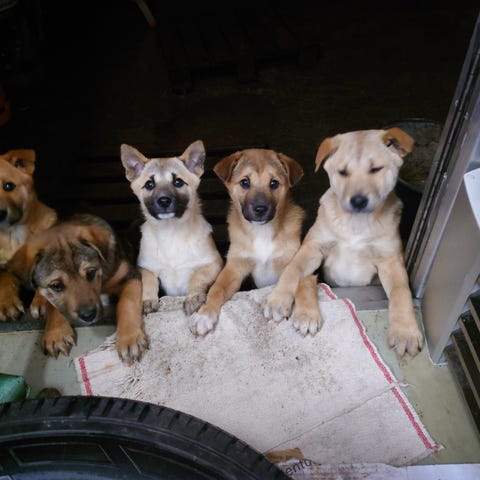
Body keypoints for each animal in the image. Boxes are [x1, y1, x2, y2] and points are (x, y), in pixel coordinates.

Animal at [0, 214, 148, 364]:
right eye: (56, 286)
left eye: (91, 273)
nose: (89, 316)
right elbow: (53, 305)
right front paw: (56, 333)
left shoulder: (130, 275)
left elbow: (127, 302)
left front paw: (129, 339)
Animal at [121, 140, 223, 315]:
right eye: (149, 184)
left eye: (178, 182)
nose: (164, 201)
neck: (171, 232)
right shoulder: (144, 267)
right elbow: (148, 280)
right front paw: (148, 300)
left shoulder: (214, 263)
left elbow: (198, 277)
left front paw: (193, 296)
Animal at [189, 147, 318, 336]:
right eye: (244, 182)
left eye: (274, 183)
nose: (260, 209)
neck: (262, 231)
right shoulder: (234, 268)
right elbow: (217, 288)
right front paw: (204, 314)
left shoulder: (298, 259)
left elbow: (303, 284)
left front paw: (306, 315)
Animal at [264, 128, 424, 357]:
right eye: (342, 173)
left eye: (376, 169)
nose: (358, 201)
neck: (355, 223)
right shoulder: (313, 247)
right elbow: (294, 270)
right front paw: (281, 300)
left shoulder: (390, 260)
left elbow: (401, 291)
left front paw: (405, 332)